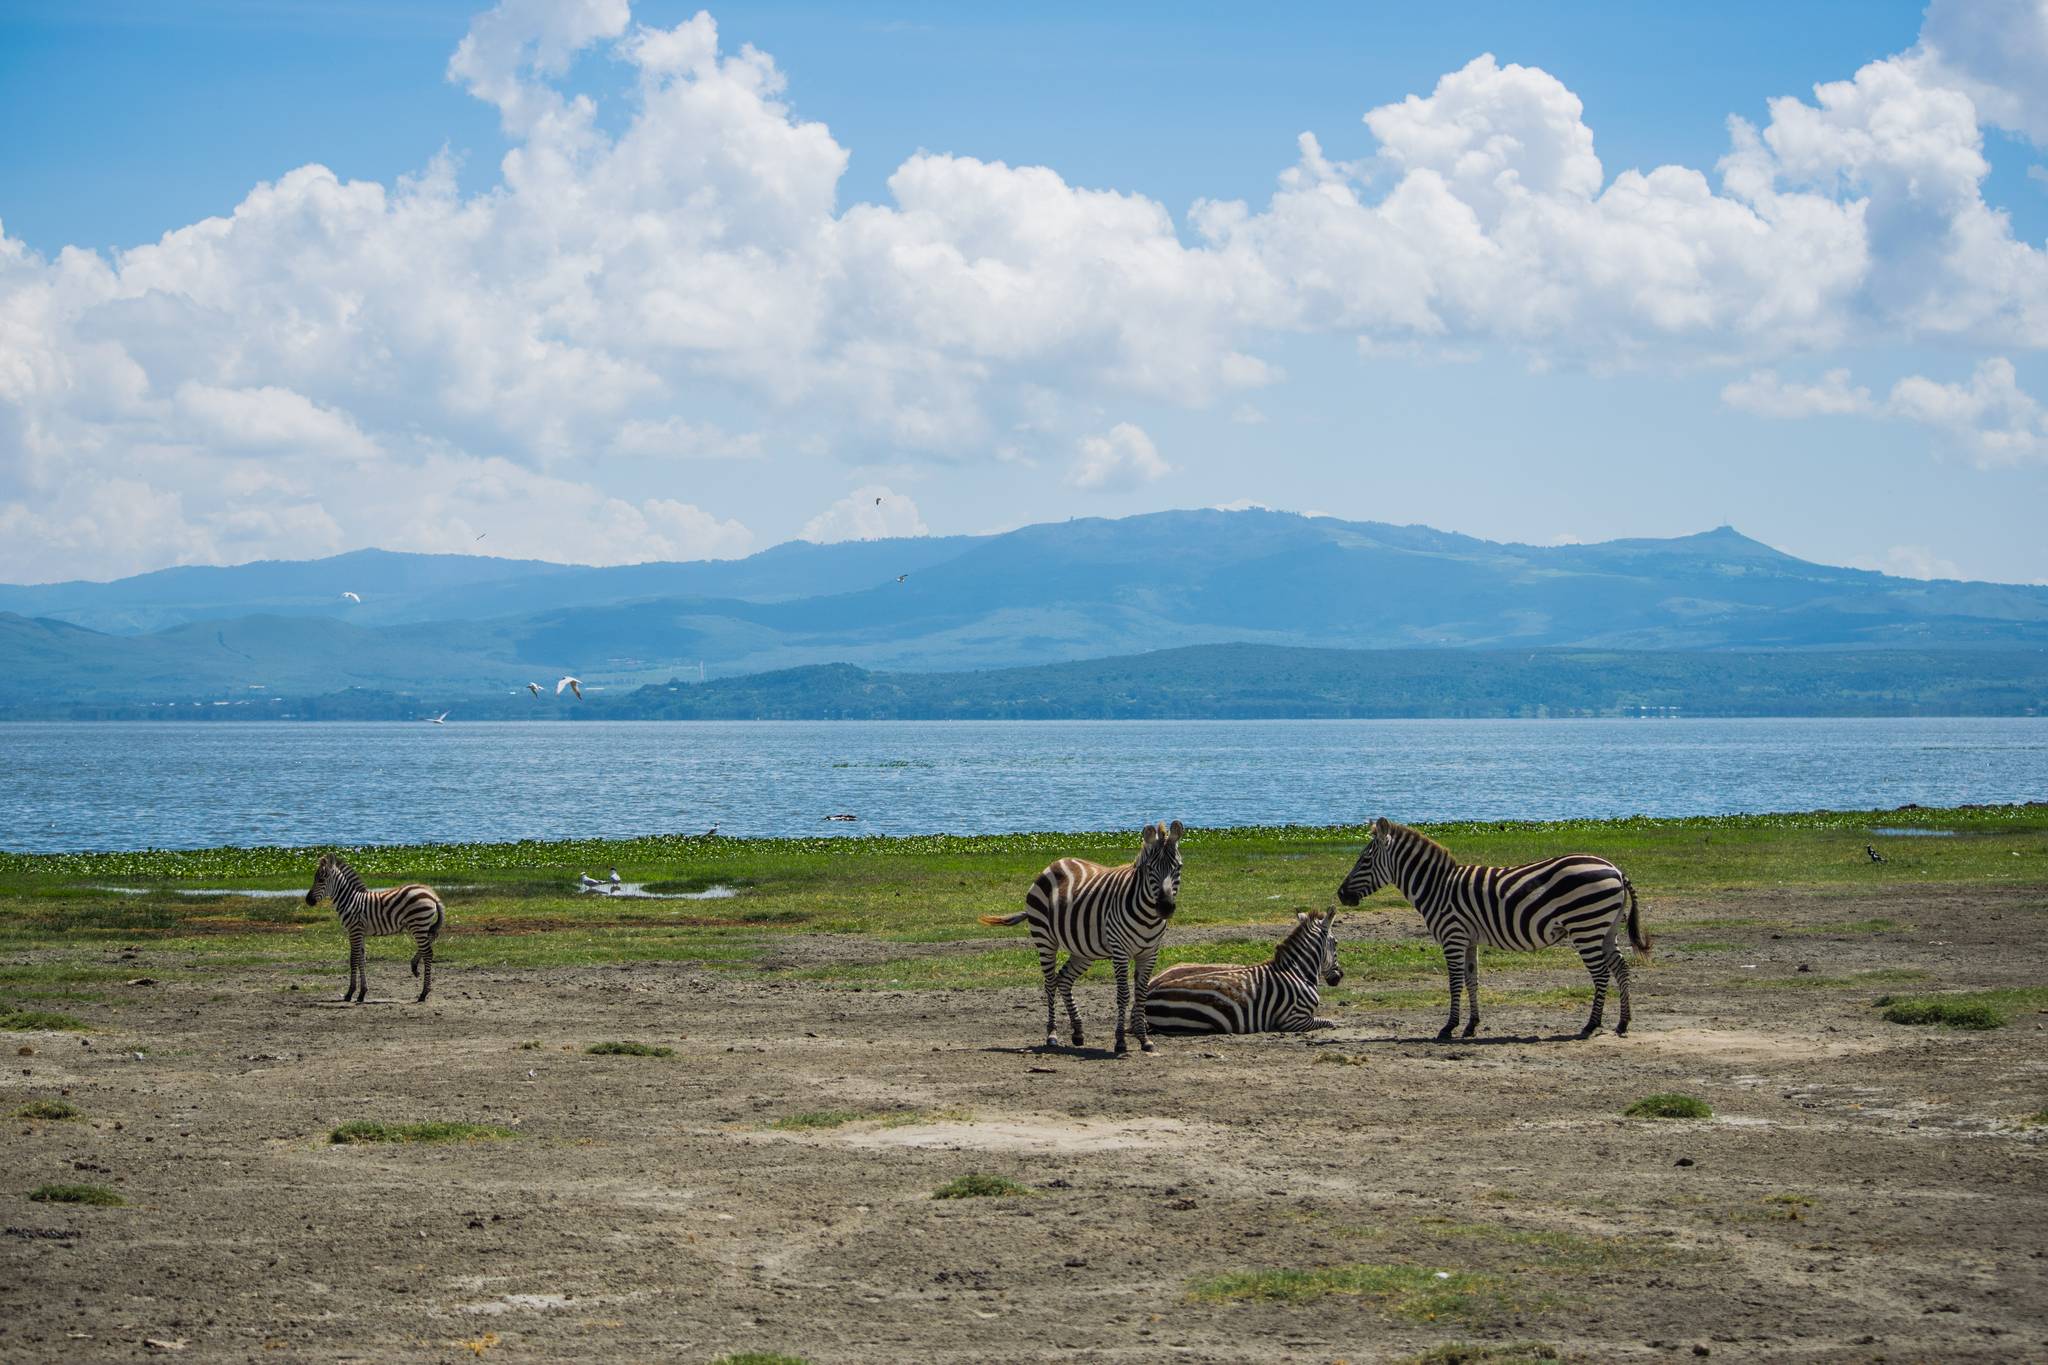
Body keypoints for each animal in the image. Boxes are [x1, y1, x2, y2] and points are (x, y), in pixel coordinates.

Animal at [303, 855, 448, 1002]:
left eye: (321, 880)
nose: (308, 900)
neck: (350, 900)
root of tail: (432, 895)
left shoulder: (354, 930)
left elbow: (353, 959)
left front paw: (350, 993)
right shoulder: (360, 933)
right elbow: (361, 959)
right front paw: (362, 993)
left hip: (418, 924)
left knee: (428, 953)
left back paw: (423, 993)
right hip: (422, 925)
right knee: (431, 939)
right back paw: (414, 966)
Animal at [978, 822, 1187, 1055]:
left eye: (1178, 867)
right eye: (1150, 868)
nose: (1165, 907)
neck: (1148, 916)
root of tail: (1056, 863)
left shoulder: (1150, 953)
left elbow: (1141, 994)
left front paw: (1144, 1040)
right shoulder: (1120, 951)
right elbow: (1123, 994)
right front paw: (1120, 1041)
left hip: (1084, 950)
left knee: (1064, 979)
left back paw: (1078, 1032)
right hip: (1045, 939)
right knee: (1050, 983)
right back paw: (1052, 1035)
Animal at [1138, 908, 1343, 1035]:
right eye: (1336, 943)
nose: (1339, 977)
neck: (1297, 971)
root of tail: (1151, 993)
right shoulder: (1292, 1019)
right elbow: (1330, 1022)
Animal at [1335, 818, 1654, 1039]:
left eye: (1364, 859)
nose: (1340, 895)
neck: (1436, 887)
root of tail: (1616, 870)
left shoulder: (1452, 936)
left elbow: (1454, 982)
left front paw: (1449, 1027)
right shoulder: (1469, 939)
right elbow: (1471, 980)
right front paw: (1471, 1026)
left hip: (1585, 927)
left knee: (1601, 974)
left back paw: (1591, 1025)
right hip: (1605, 928)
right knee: (1621, 968)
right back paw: (1622, 1023)